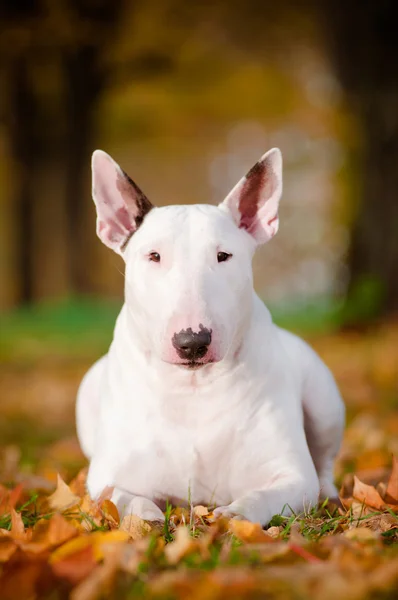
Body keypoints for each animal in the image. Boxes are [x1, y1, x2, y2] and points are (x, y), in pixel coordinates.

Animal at [76, 148, 344, 524]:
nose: (192, 342)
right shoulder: (107, 476)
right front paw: (145, 520)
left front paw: (232, 518)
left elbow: (260, 498)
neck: (192, 390)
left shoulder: (291, 475)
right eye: (154, 256)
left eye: (223, 256)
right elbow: (123, 498)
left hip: (325, 404)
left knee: (325, 466)